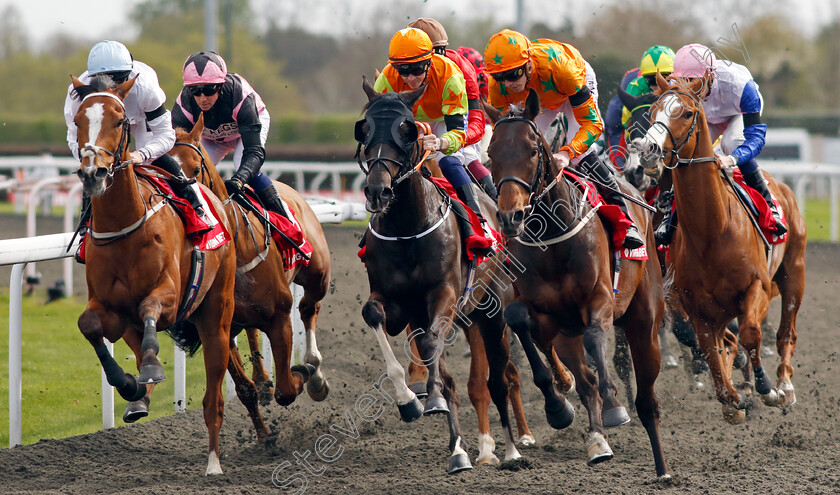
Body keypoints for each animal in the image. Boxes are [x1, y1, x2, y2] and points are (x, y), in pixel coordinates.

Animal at [69, 75, 236, 474]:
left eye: (119, 120)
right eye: (78, 121)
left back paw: (213, 463)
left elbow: (150, 308)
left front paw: (150, 369)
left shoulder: (171, 297)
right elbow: (89, 325)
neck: (125, 225)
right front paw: (129, 385)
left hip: (217, 316)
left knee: (214, 399)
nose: (93, 173)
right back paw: (138, 398)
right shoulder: (109, 308)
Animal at [167, 117, 332, 438]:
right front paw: (265, 437)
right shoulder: (218, 327)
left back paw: (315, 373)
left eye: (195, 168)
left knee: (309, 308)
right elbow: (246, 389)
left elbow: (286, 390)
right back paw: (266, 377)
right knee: (254, 331)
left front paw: (302, 373)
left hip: (318, 275)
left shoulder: (280, 317)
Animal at [356, 79, 532, 474]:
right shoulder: (397, 306)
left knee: (501, 377)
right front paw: (409, 400)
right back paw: (460, 452)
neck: (407, 228)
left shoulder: (446, 293)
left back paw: (512, 451)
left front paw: (431, 399)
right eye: (365, 129)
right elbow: (373, 315)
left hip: (491, 311)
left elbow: (435, 346)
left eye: (406, 129)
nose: (377, 191)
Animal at [486, 90, 668, 480]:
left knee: (642, 389)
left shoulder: (599, 299)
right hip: (565, 333)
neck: (552, 236)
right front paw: (558, 406)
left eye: (533, 150)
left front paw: (614, 403)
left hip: (644, 319)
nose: (510, 217)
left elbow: (596, 338)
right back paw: (596, 440)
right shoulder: (545, 314)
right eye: (492, 153)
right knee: (583, 380)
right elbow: (518, 318)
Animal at [640, 72, 812, 422]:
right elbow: (712, 355)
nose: (649, 149)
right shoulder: (696, 308)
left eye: (687, 113)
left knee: (785, 332)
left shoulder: (757, 287)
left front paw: (766, 389)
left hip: (794, 274)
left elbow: (750, 333)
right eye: (652, 111)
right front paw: (734, 399)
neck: (713, 232)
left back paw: (784, 386)